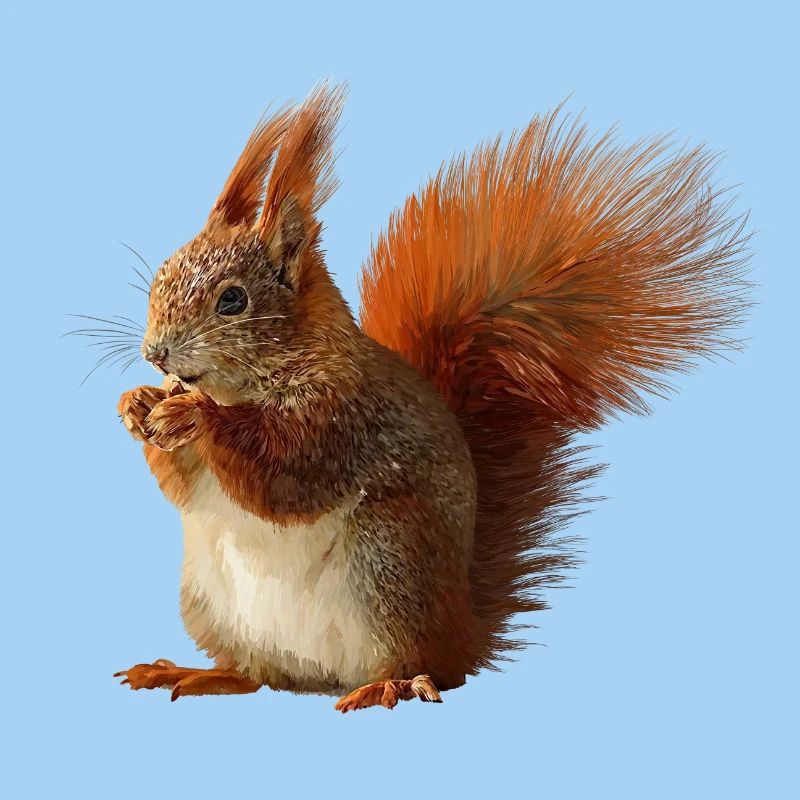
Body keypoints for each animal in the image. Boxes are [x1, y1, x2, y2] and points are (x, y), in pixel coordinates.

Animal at [110, 83, 749, 711]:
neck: (247, 385)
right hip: (212, 601)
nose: (155, 353)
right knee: (258, 674)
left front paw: (195, 414)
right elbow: (182, 486)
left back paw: (388, 686)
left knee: (426, 668)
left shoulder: (343, 419)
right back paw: (198, 673)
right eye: (162, 272)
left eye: (233, 300)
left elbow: (283, 474)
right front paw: (137, 404)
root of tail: (461, 628)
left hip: (390, 562)